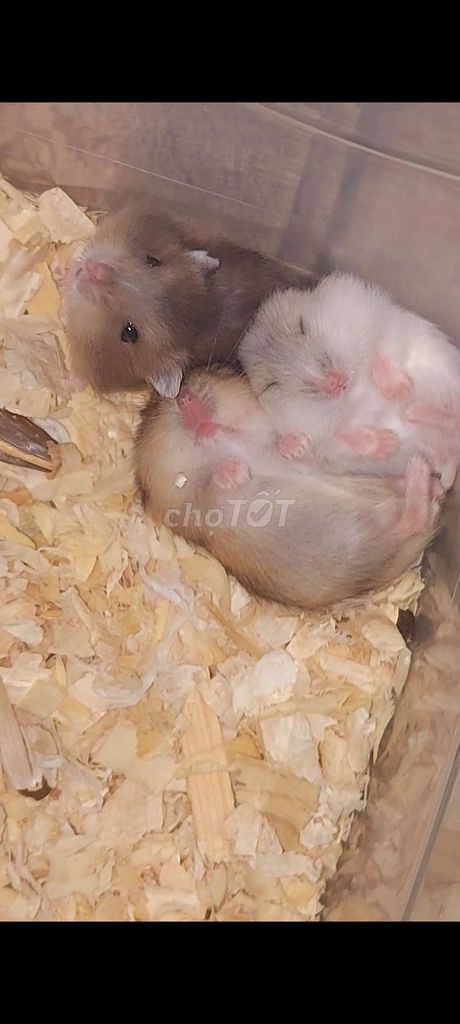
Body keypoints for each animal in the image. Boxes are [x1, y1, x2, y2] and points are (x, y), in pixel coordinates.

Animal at [135, 367, 440, 610]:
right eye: (153, 409)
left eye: (219, 372)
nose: (185, 398)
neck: (225, 442)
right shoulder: (180, 504)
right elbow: (206, 484)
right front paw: (233, 471)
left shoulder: (277, 445)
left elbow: (287, 447)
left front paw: (293, 444)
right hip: (365, 544)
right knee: (411, 521)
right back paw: (420, 472)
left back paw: (415, 469)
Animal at [239, 272, 460, 491]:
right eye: (271, 385)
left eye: (301, 326)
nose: (334, 382)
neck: (354, 391)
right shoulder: (326, 447)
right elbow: (340, 439)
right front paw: (389, 443)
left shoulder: (381, 317)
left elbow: (382, 348)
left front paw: (400, 392)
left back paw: (411, 409)